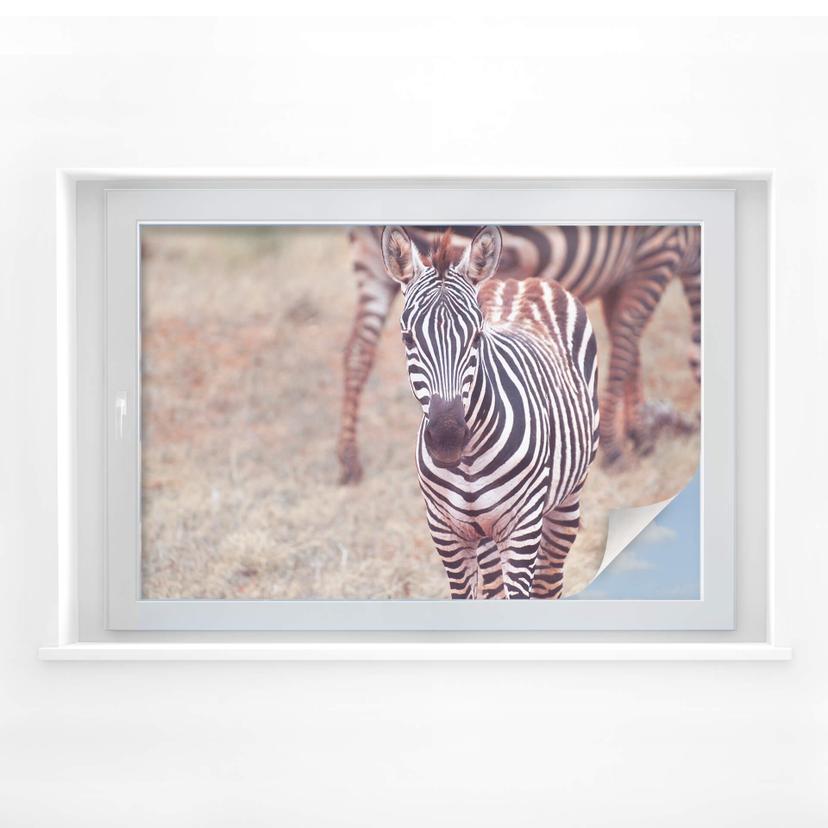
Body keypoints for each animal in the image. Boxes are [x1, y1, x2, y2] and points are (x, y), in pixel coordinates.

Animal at [338, 224, 700, 484]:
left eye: (478, 336)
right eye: (408, 338)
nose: (446, 438)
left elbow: (627, 343)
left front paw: (639, 431)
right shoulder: (657, 253)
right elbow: (627, 339)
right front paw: (617, 447)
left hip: (371, 262)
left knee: (357, 352)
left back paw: (349, 462)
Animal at [381, 225, 600, 599]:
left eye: (477, 337)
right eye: (408, 339)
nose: (448, 437)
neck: (468, 459)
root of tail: (521, 280)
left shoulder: (522, 526)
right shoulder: (446, 531)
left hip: (567, 497)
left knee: (549, 580)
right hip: (485, 535)